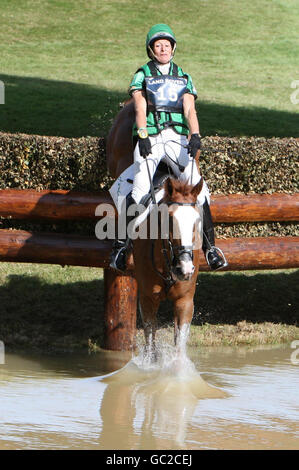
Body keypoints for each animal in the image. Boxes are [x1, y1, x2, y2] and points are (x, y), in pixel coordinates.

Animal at [106, 103, 204, 360]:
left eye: (197, 220)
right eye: (169, 221)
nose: (185, 268)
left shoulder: (185, 301)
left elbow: (179, 350)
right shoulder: (148, 298)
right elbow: (150, 347)